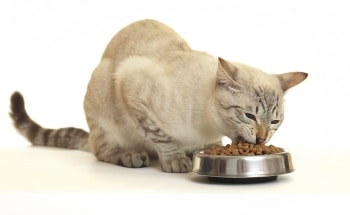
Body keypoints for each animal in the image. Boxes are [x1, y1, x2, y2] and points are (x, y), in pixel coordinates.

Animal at [9, 18, 308, 173]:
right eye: (249, 115)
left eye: (274, 122)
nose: (261, 139)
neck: (207, 126)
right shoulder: (132, 84)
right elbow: (162, 137)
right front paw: (176, 160)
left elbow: (203, 145)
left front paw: (196, 152)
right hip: (104, 100)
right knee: (102, 151)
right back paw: (133, 156)